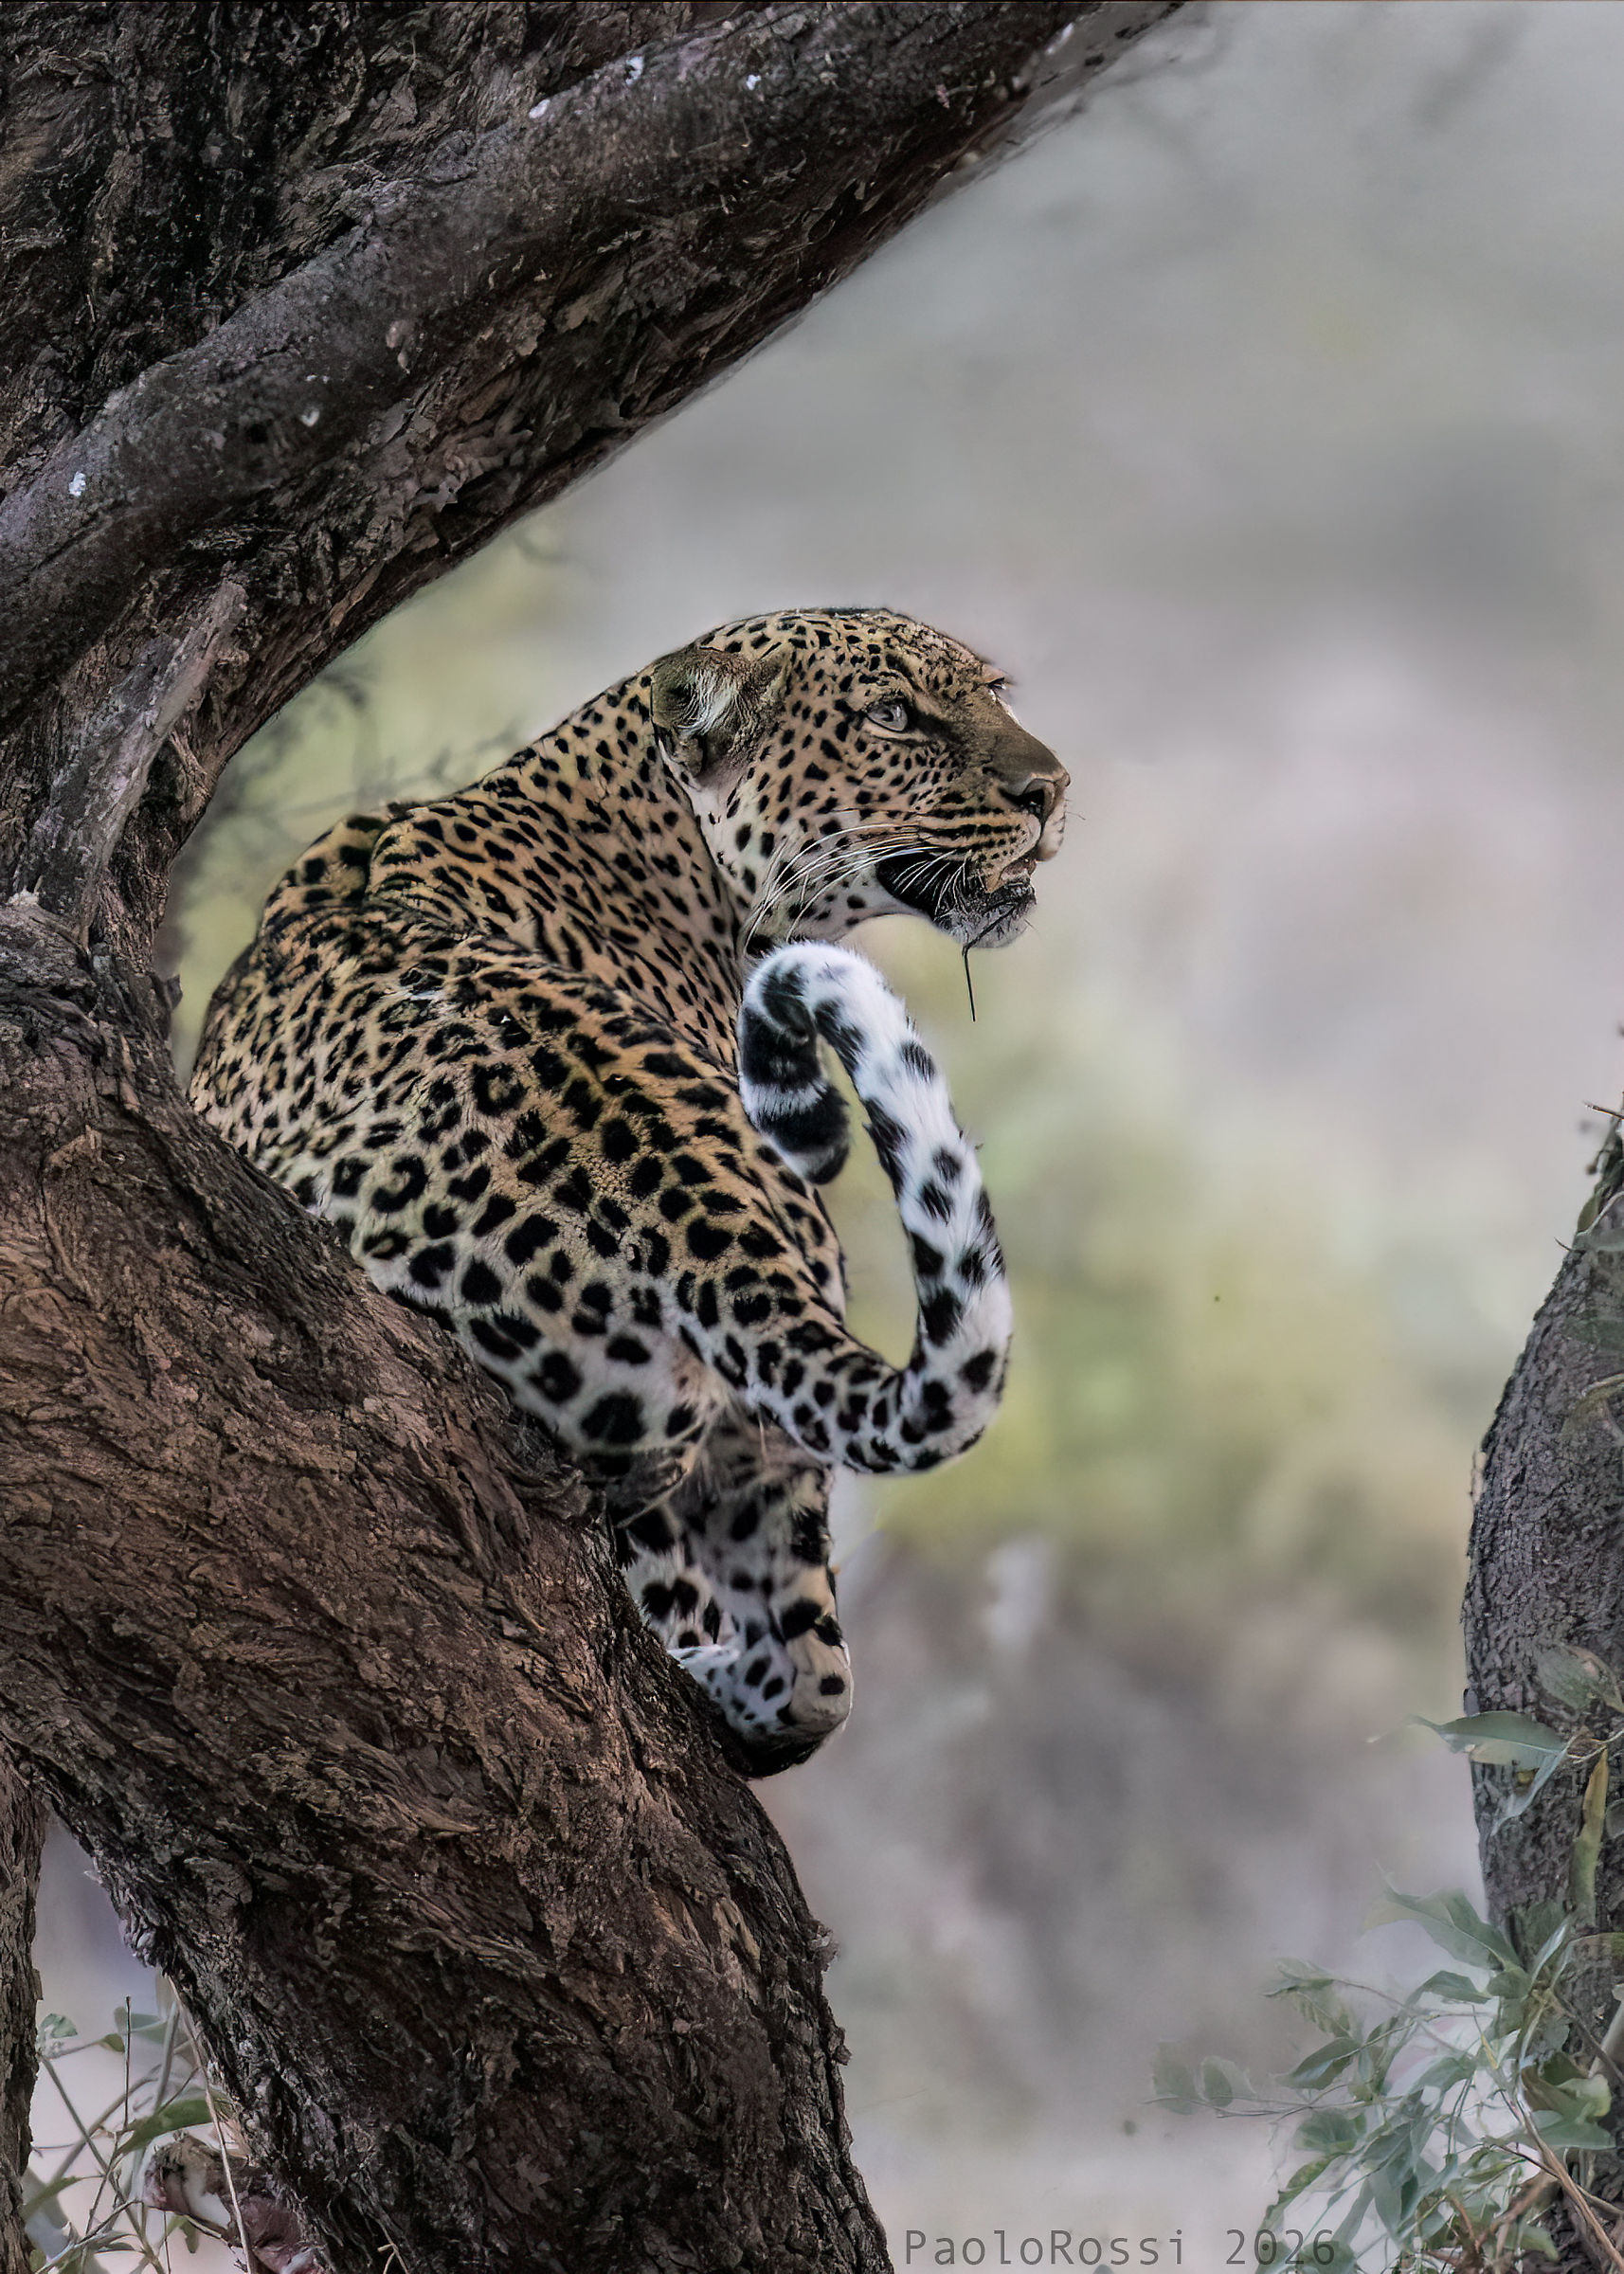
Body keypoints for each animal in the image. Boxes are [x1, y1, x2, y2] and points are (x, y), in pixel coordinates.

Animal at [189, 606, 1068, 1771]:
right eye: (892, 716)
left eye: (995, 690)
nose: (1050, 790)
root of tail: (692, 1207)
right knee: (804, 1673)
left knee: (800, 1673)